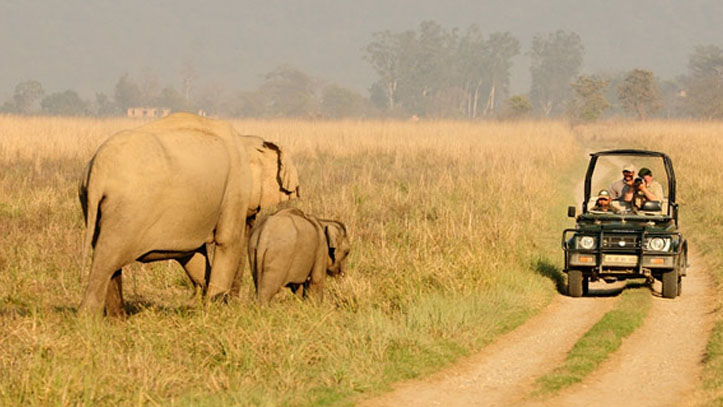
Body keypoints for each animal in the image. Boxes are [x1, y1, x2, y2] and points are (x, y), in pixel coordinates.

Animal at [80, 113, 302, 318]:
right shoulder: (234, 190)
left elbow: (192, 253)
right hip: (127, 211)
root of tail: (98, 171)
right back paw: (89, 319)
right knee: (107, 258)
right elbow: (227, 241)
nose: (234, 302)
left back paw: (117, 319)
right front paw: (214, 309)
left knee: (107, 258)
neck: (243, 139)